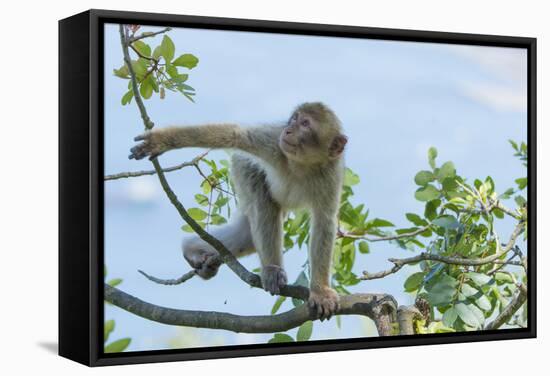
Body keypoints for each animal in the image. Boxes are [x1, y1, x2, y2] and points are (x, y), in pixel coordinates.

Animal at [129, 101, 350, 318]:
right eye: (294, 119)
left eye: (305, 123)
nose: (288, 130)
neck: (302, 164)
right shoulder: (273, 144)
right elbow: (234, 134)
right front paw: (161, 140)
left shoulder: (330, 174)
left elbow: (325, 221)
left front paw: (320, 291)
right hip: (243, 167)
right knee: (262, 202)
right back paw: (271, 269)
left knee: (247, 236)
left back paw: (192, 249)